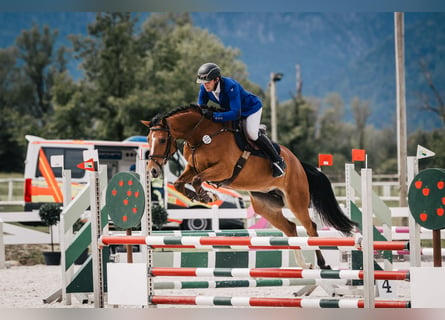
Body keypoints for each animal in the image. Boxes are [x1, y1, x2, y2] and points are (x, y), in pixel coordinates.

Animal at [142, 104, 358, 268]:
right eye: (148, 139)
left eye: (162, 139)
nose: (152, 170)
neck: (201, 136)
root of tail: (298, 164)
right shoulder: (192, 167)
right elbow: (180, 183)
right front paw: (200, 196)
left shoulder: (224, 169)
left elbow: (196, 180)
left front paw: (207, 196)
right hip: (265, 206)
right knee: (290, 228)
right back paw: (304, 265)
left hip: (295, 200)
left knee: (311, 227)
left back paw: (322, 263)